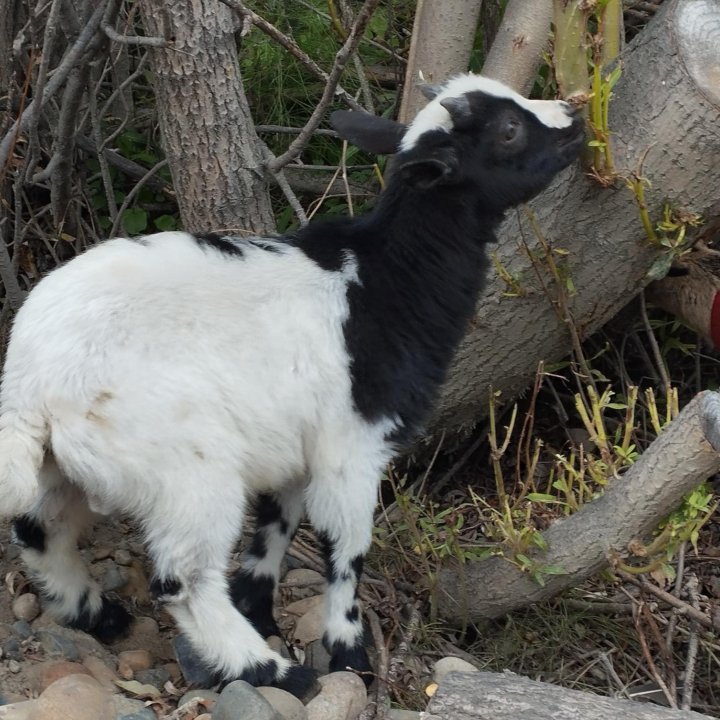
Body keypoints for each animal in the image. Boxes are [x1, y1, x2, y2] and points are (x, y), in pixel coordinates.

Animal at [0, 74, 584, 696]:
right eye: (509, 130)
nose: (575, 118)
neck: (385, 280)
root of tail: (30, 378)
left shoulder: (294, 444)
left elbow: (276, 528)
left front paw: (259, 609)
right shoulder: (351, 446)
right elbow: (346, 551)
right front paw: (350, 655)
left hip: (65, 462)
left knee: (38, 531)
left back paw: (100, 615)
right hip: (185, 467)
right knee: (181, 578)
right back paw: (273, 672)